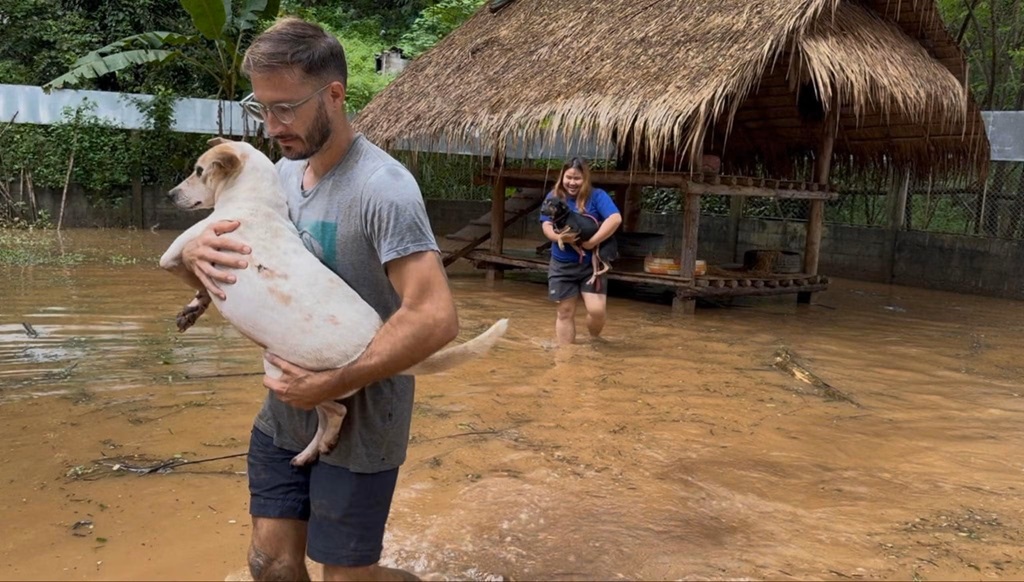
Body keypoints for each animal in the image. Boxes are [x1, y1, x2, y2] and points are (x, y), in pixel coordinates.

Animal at [159, 138, 507, 465]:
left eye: (199, 171)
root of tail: (373, 340)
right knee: (328, 416)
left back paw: (317, 447)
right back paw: (311, 452)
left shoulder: (176, 254)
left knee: (336, 412)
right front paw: (193, 310)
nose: (169, 195)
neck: (256, 199)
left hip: (284, 374)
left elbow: (190, 271)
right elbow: (203, 287)